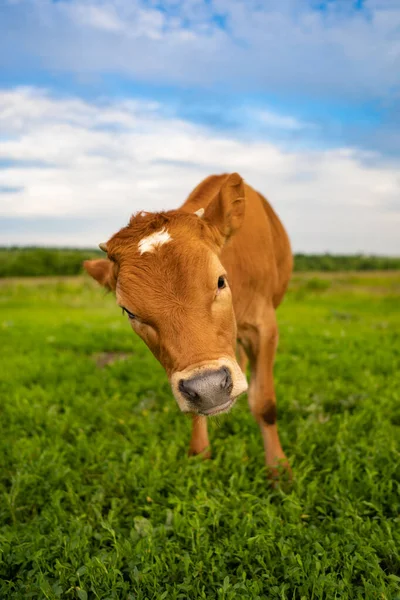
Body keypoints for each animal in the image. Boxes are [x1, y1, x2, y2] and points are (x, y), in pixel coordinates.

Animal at [84, 173, 292, 478]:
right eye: (129, 312)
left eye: (220, 281)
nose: (209, 387)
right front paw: (200, 452)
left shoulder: (264, 327)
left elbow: (264, 403)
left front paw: (279, 469)